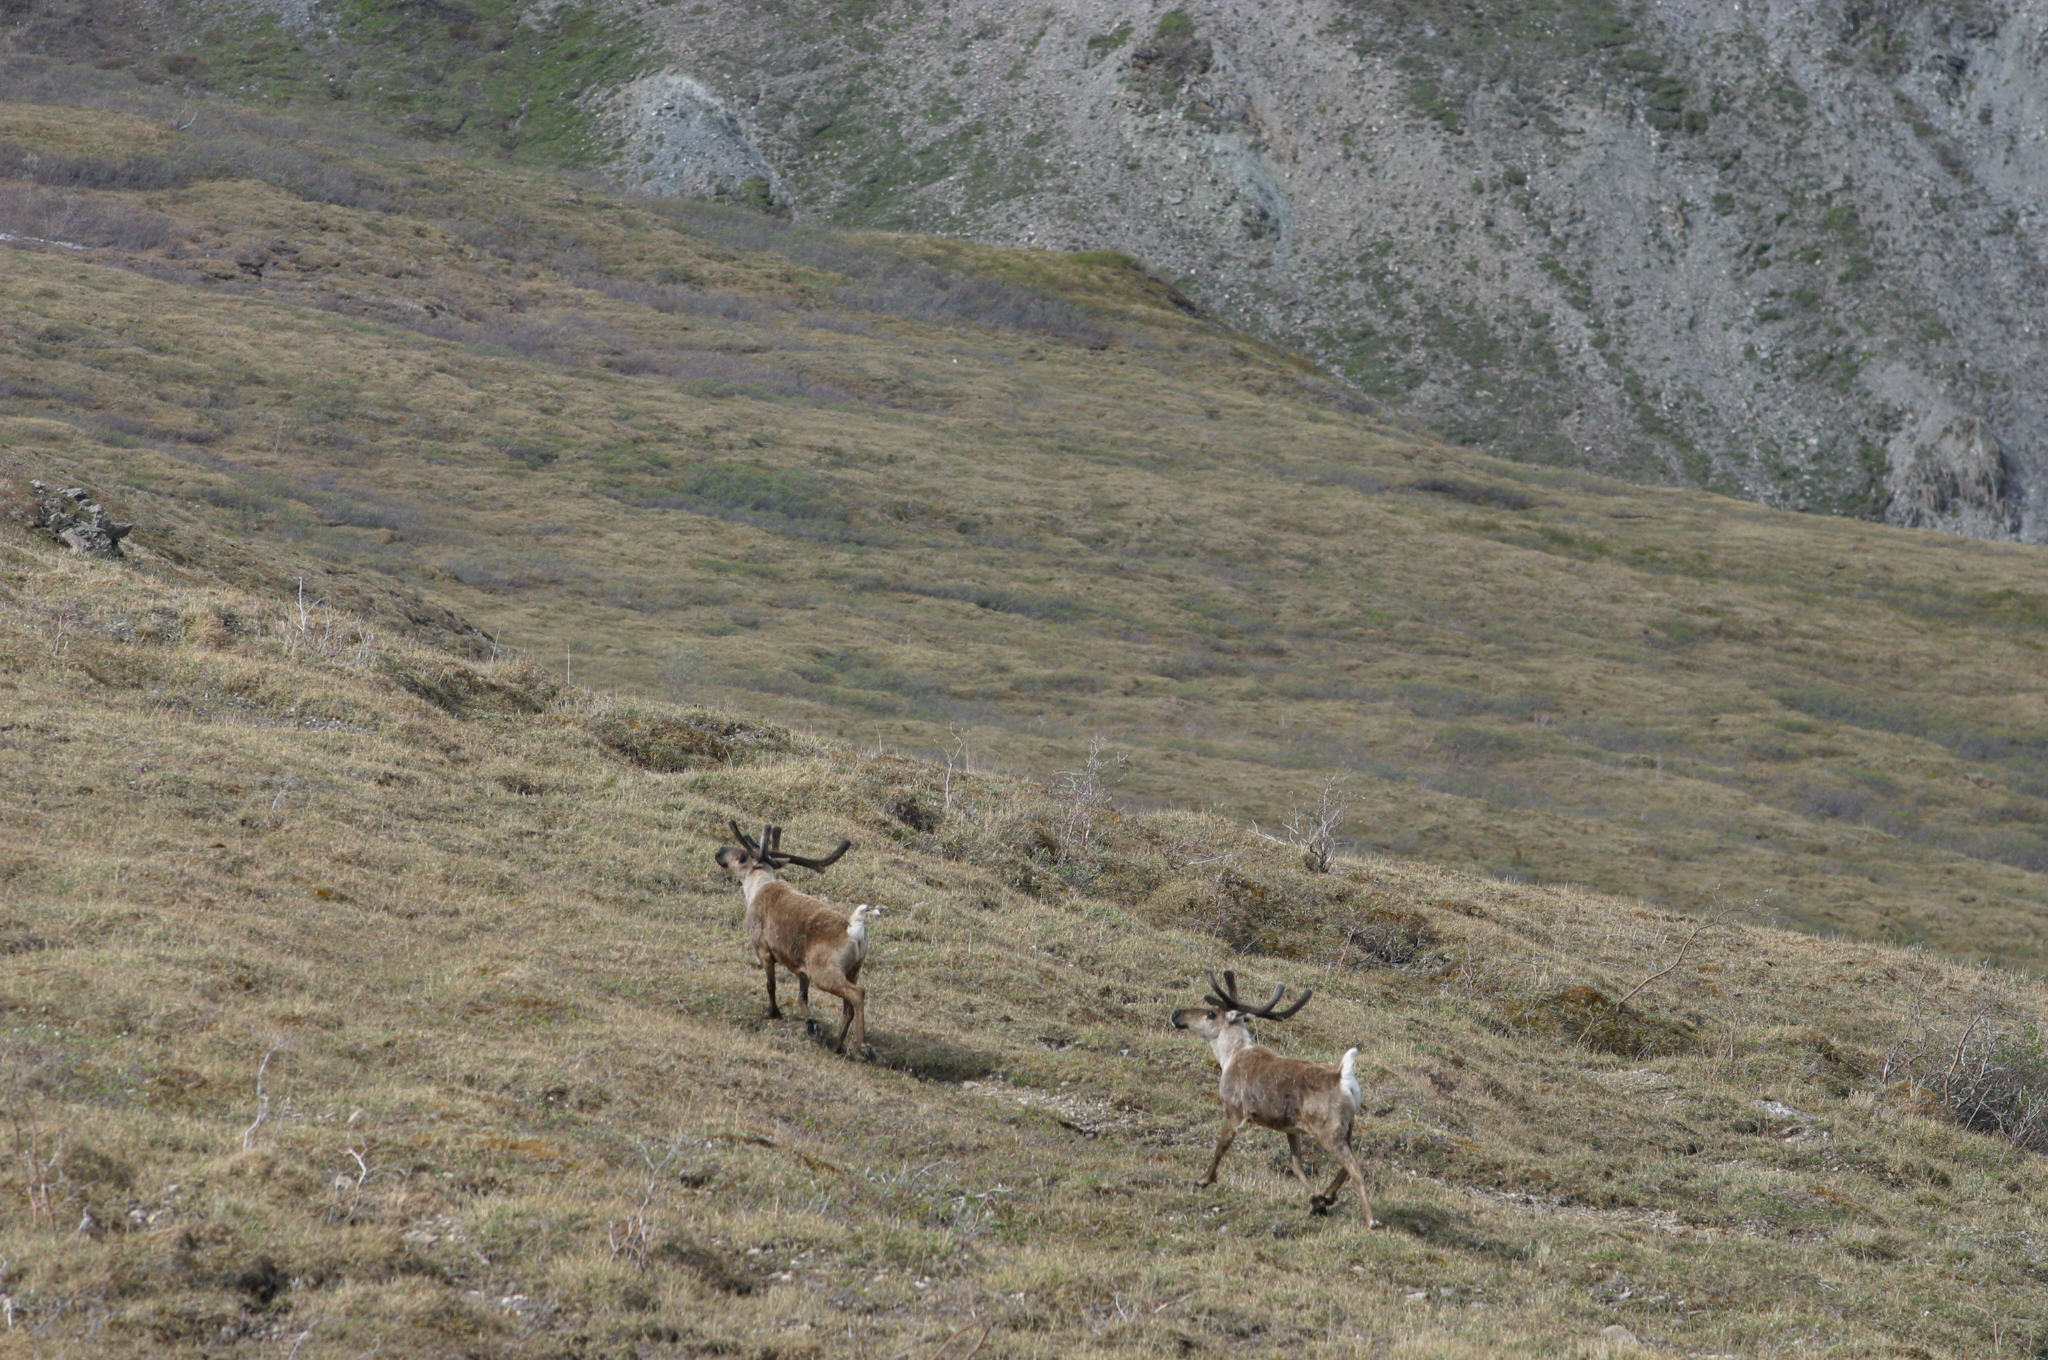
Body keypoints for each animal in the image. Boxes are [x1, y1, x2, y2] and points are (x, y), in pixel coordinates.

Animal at [714, 822, 879, 1058]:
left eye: (743, 856)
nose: (720, 851)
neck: (757, 889)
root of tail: (854, 927)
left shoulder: (762, 947)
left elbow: (771, 984)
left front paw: (773, 1012)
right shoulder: (802, 968)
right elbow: (802, 996)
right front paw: (811, 1024)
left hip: (825, 972)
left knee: (857, 994)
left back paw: (864, 1046)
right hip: (854, 968)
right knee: (848, 1007)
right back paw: (837, 1046)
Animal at [1171, 969, 1375, 1225]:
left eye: (1211, 1013)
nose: (1176, 1013)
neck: (1230, 1056)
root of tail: (1342, 1076)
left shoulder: (1234, 1108)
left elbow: (1221, 1146)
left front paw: (1204, 1179)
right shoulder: (1291, 1127)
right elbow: (1297, 1165)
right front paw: (1315, 1200)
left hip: (1328, 1128)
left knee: (1356, 1168)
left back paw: (1371, 1220)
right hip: (1347, 1125)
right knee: (1347, 1166)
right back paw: (1328, 1196)